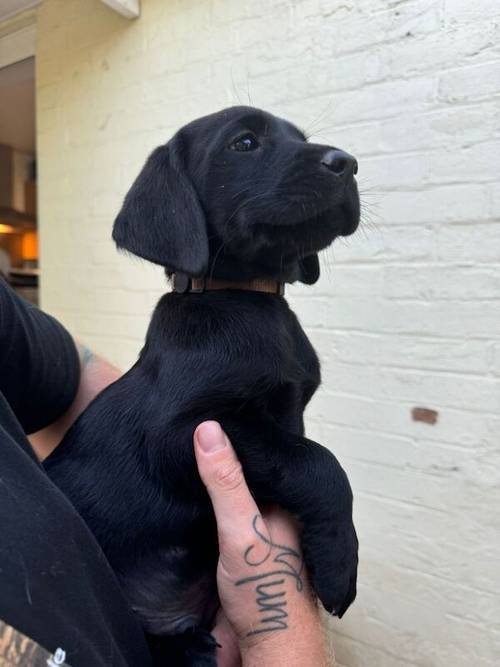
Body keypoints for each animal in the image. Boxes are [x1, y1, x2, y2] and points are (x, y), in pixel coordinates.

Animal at [45, 107, 360, 664]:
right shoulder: (182, 433)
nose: (347, 163)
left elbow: (307, 454)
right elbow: (319, 463)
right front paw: (339, 561)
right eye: (245, 142)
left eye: (299, 137)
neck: (247, 299)